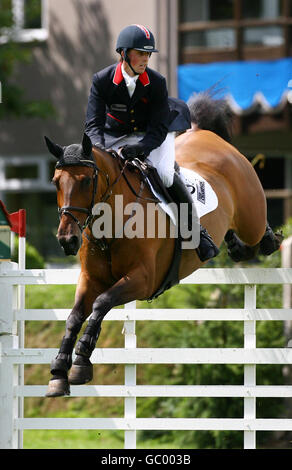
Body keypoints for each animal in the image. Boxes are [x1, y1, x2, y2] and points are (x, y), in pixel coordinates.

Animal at [44, 92, 282, 396]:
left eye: (86, 181)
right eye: (56, 182)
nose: (67, 240)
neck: (109, 227)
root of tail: (205, 134)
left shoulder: (143, 279)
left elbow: (101, 303)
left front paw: (81, 362)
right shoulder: (90, 278)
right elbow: (75, 316)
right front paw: (58, 371)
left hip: (250, 215)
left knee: (257, 235)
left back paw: (268, 239)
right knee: (241, 244)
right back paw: (231, 244)